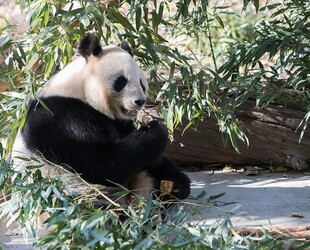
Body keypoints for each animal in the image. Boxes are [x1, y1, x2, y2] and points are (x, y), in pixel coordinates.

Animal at [10, 33, 190, 205]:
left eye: (141, 82)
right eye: (121, 81)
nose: (140, 101)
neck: (80, 89)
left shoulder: (118, 122)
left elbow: (147, 156)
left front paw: (178, 184)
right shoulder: (60, 118)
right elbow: (102, 164)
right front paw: (156, 130)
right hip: (67, 192)